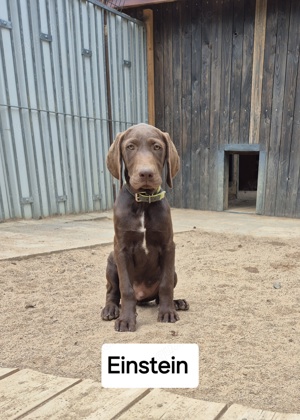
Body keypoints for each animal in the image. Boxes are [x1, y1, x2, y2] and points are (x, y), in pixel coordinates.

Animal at [102, 124, 189, 332]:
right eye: (130, 147)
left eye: (157, 147)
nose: (146, 174)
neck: (143, 202)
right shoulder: (121, 249)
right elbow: (126, 289)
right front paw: (126, 319)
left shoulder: (168, 246)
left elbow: (165, 285)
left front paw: (167, 312)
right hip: (111, 261)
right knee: (112, 292)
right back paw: (110, 309)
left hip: (173, 271)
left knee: (159, 294)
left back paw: (177, 303)